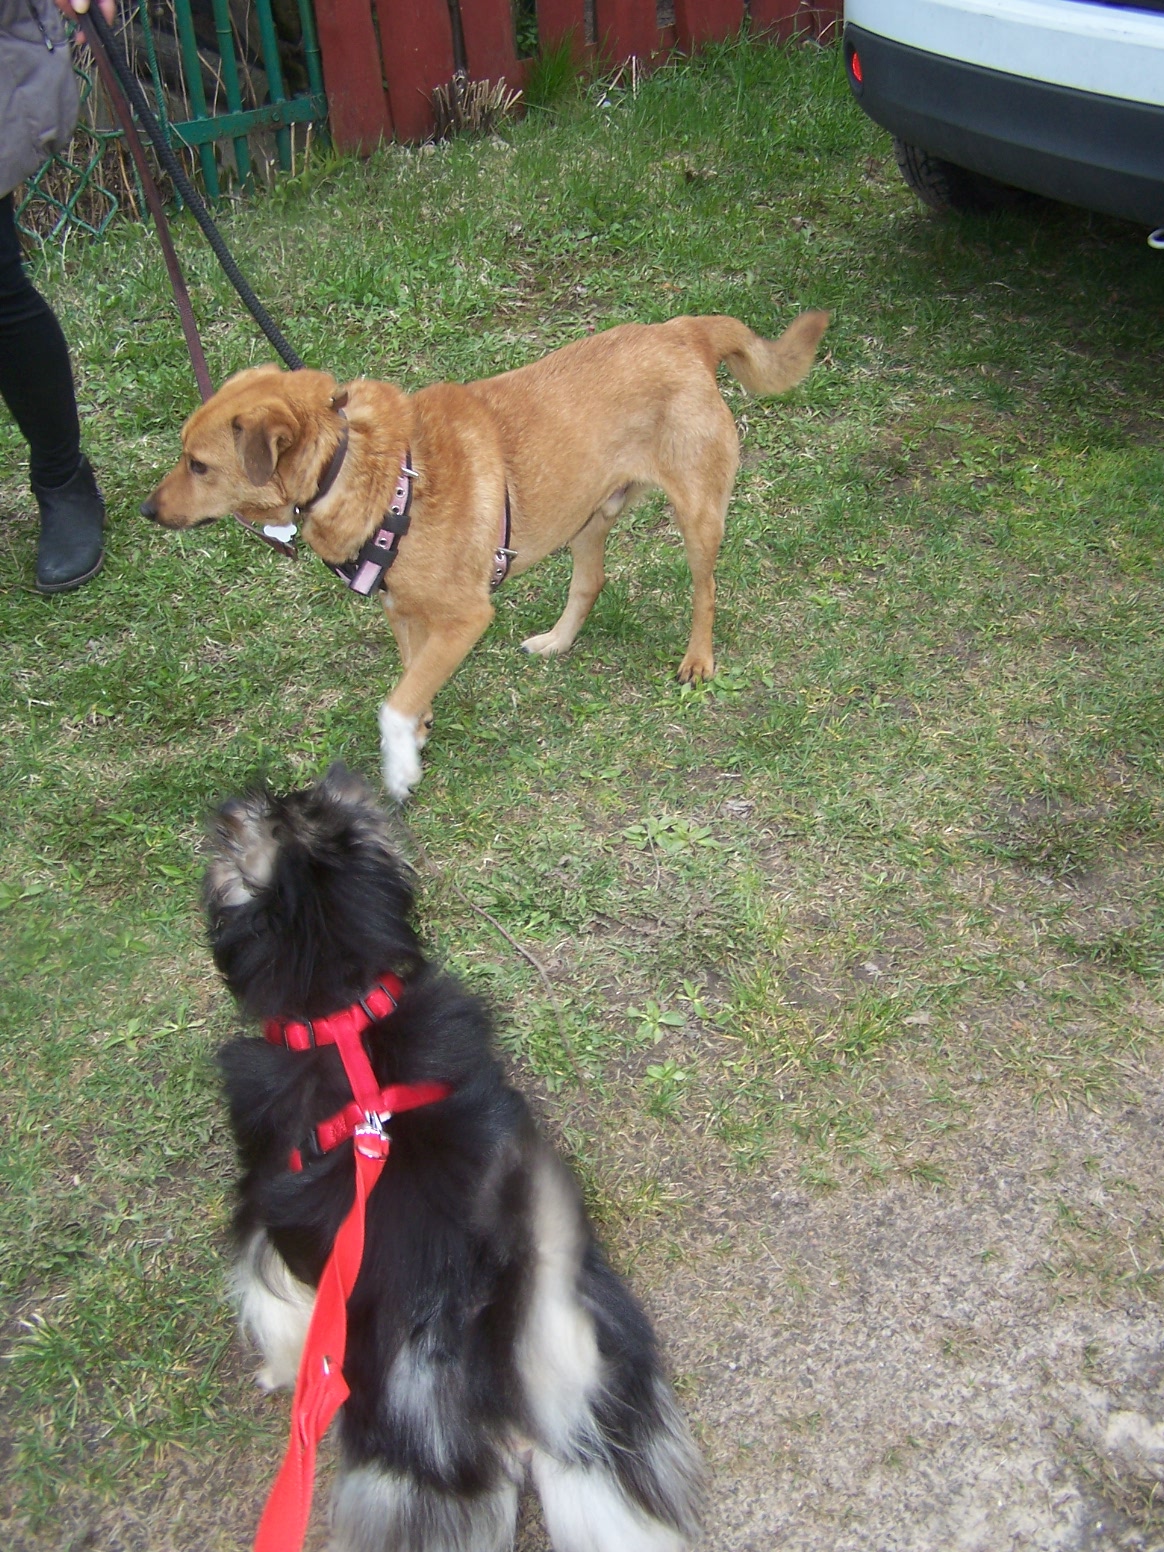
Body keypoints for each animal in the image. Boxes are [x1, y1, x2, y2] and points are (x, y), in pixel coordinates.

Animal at [145, 311, 828, 799]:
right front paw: (416, 738)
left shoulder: (464, 618)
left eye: (198, 464)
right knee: (590, 582)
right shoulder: (405, 613)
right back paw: (557, 641)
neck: (361, 465)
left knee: (705, 590)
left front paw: (399, 767)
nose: (148, 511)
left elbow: (396, 700)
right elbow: (411, 680)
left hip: (698, 515)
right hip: (586, 516)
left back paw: (697, 660)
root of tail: (682, 331)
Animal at [206, 763, 705, 1551]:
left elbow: (276, 1313)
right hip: (609, 1452)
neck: (344, 1013)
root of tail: (514, 1376)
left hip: (415, 1486)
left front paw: (278, 1374)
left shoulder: (263, 1232)